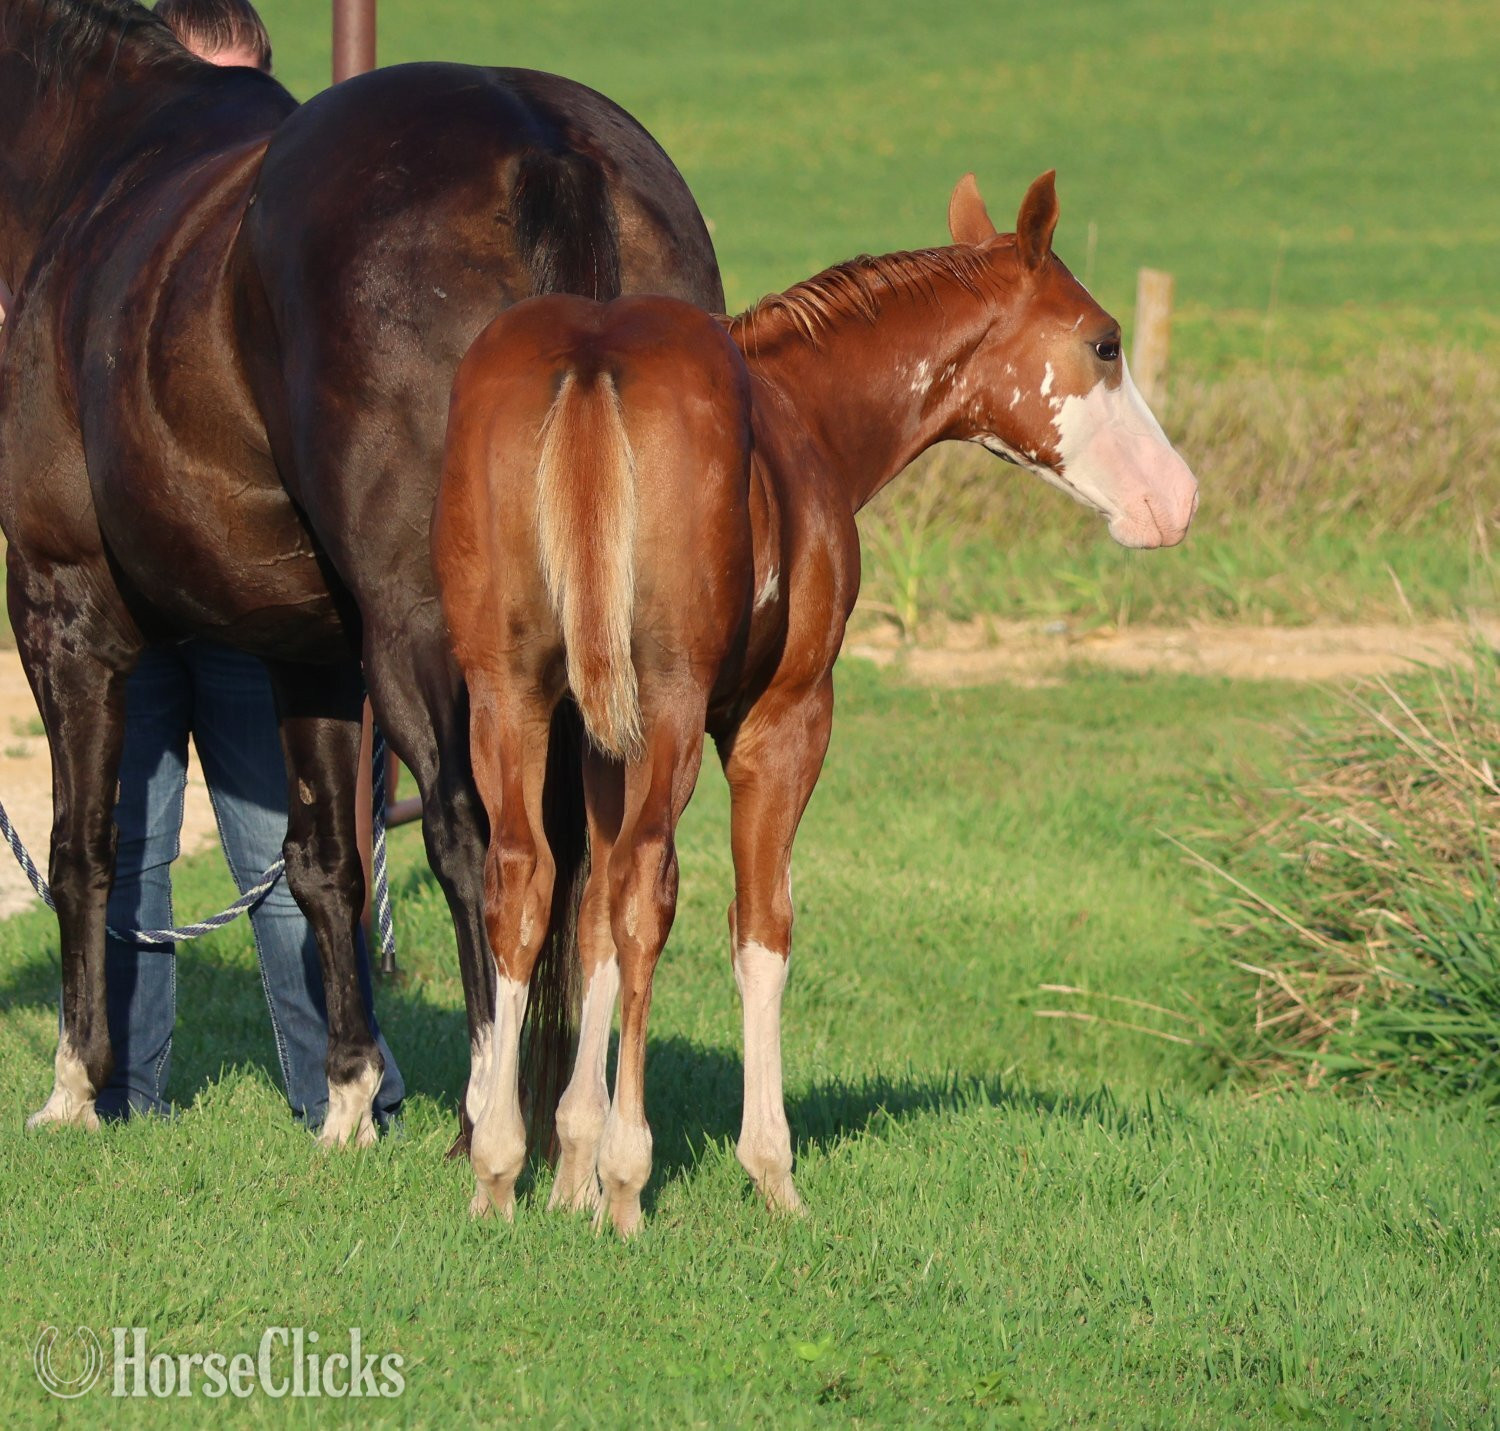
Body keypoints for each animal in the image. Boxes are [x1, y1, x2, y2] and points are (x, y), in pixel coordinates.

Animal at [0, 0, 721, 1143]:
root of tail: (544, 147)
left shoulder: (62, 610)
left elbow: (85, 849)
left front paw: (74, 1087)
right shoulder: (309, 653)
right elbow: (321, 860)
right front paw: (346, 1097)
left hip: (430, 638)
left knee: (485, 841)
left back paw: (488, 1122)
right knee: (627, 859)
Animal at [435, 170, 1198, 1235]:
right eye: (1104, 343)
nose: (1177, 499)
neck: (800, 414)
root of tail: (591, 362)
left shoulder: (597, 734)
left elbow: (586, 923)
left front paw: (569, 1167)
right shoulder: (785, 719)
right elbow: (761, 927)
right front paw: (765, 1170)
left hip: (510, 693)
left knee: (524, 880)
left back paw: (499, 1167)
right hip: (670, 702)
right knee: (644, 892)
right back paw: (631, 1179)